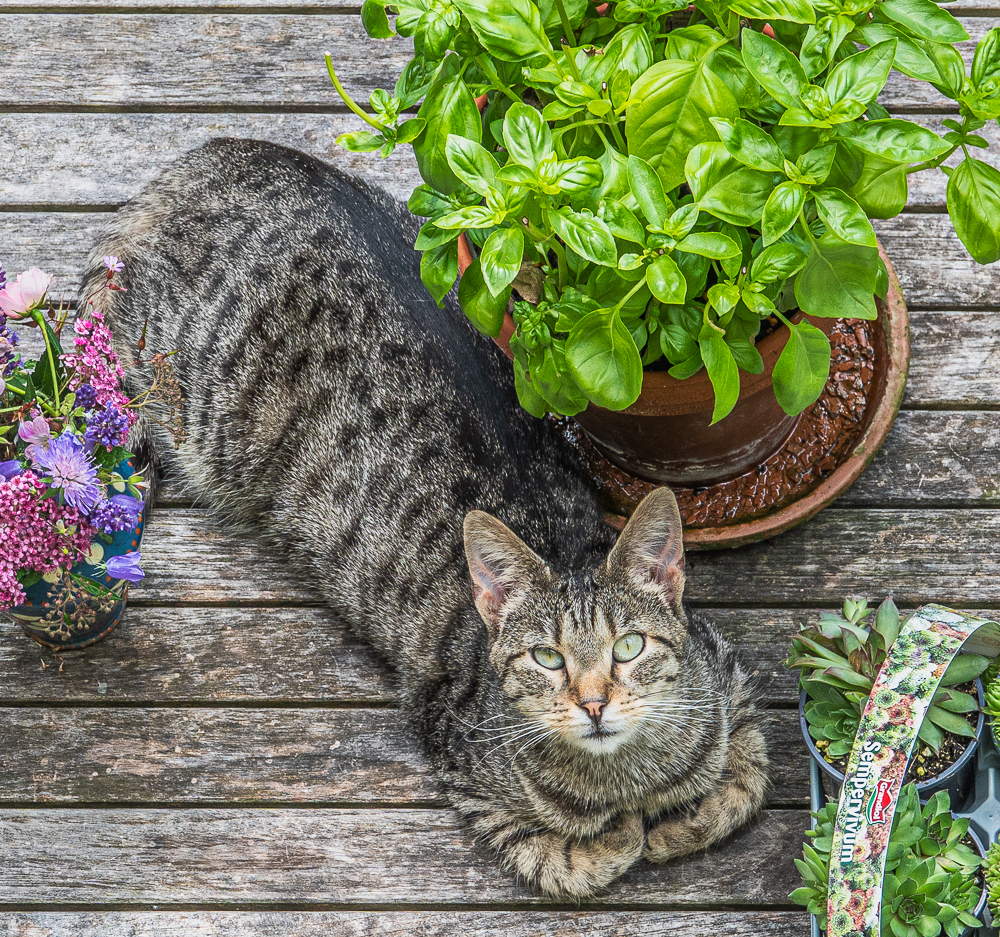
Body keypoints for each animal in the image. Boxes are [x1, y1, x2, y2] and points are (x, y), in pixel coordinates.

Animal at [88, 141, 772, 900]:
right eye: (546, 657)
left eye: (629, 647)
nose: (594, 703)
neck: (626, 775)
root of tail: (212, 156)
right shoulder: (460, 755)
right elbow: (575, 855)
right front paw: (624, 830)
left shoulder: (732, 681)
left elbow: (745, 777)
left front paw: (681, 817)